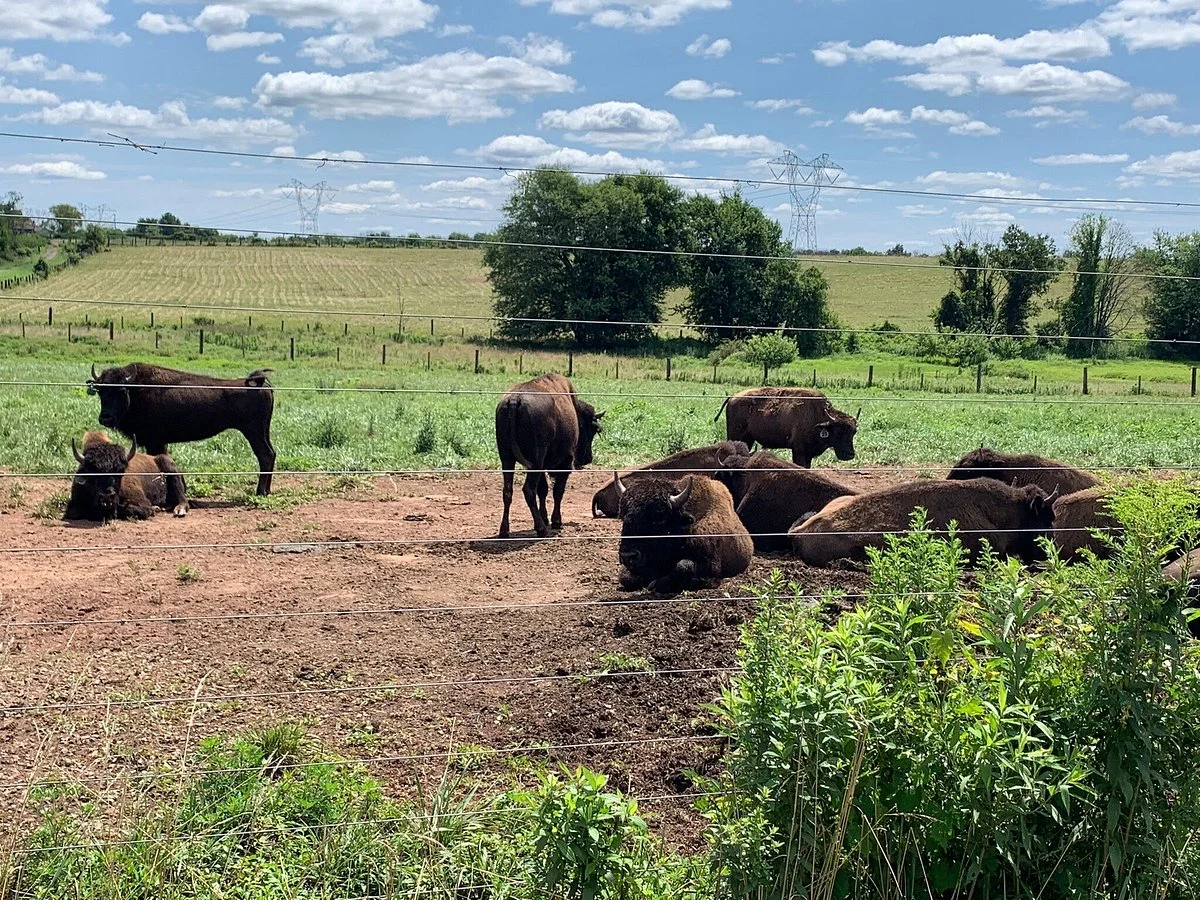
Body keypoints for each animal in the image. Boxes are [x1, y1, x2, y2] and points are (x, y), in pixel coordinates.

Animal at [88, 362, 276, 496]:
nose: (105, 418)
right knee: (271, 454)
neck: (136, 390)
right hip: (263, 431)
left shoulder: (155, 442)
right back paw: (266, 491)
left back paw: (260, 492)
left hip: (253, 432)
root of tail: (259, 383)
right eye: (100, 391)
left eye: (121, 390)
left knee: (265, 455)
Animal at [496, 373, 604, 538]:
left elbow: (543, 490)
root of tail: (514, 400)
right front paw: (556, 522)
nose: (587, 458)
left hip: (507, 458)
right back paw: (541, 529)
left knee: (508, 491)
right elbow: (557, 491)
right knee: (529, 490)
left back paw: (504, 531)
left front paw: (546, 518)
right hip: (535, 461)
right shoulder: (565, 463)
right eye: (591, 430)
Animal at [614, 473, 753, 593]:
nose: (628, 556)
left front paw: (655, 584)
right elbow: (625, 577)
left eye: (659, 518)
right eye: (623, 516)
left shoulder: (710, 563)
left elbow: (682, 566)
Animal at [714, 387, 859, 467]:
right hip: (736, 436)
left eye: (854, 432)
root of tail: (732, 397)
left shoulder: (808, 454)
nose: (850, 454)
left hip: (748, 439)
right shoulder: (799, 450)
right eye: (839, 432)